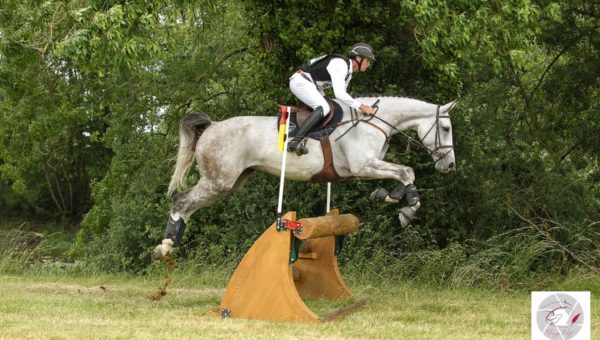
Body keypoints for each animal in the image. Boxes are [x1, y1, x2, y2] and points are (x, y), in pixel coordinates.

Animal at [152, 95, 458, 258]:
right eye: (444, 128)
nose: (450, 165)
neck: (371, 123)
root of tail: (212, 126)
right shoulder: (363, 166)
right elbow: (407, 171)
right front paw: (407, 209)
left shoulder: (369, 166)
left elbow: (402, 175)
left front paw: (389, 196)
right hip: (218, 181)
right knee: (181, 201)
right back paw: (166, 246)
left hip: (231, 183)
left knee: (188, 206)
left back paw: (169, 244)